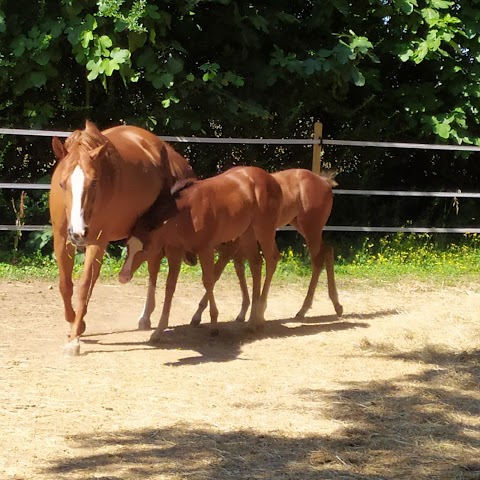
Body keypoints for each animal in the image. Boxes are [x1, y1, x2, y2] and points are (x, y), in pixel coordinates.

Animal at [50, 120, 195, 354]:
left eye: (93, 183)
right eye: (63, 184)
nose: (79, 232)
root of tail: (168, 153)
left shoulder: (97, 240)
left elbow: (83, 285)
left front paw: (74, 339)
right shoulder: (62, 238)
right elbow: (65, 285)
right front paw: (75, 323)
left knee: (153, 267)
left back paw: (146, 317)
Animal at [118, 167, 284, 340]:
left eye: (145, 249)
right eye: (127, 246)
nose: (123, 276)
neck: (188, 213)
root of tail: (271, 180)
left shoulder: (206, 250)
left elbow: (208, 281)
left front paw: (213, 324)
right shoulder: (175, 251)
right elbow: (170, 286)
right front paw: (159, 330)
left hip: (264, 231)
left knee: (271, 261)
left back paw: (259, 317)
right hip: (247, 235)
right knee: (256, 264)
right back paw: (252, 320)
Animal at [189, 167, 344, 324]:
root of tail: (324, 181)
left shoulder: (231, 246)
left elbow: (216, 273)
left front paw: (198, 314)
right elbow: (239, 270)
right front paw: (242, 312)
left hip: (311, 230)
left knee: (317, 261)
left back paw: (303, 309)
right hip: (302, 227)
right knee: (327, 250)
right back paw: (335, 305)